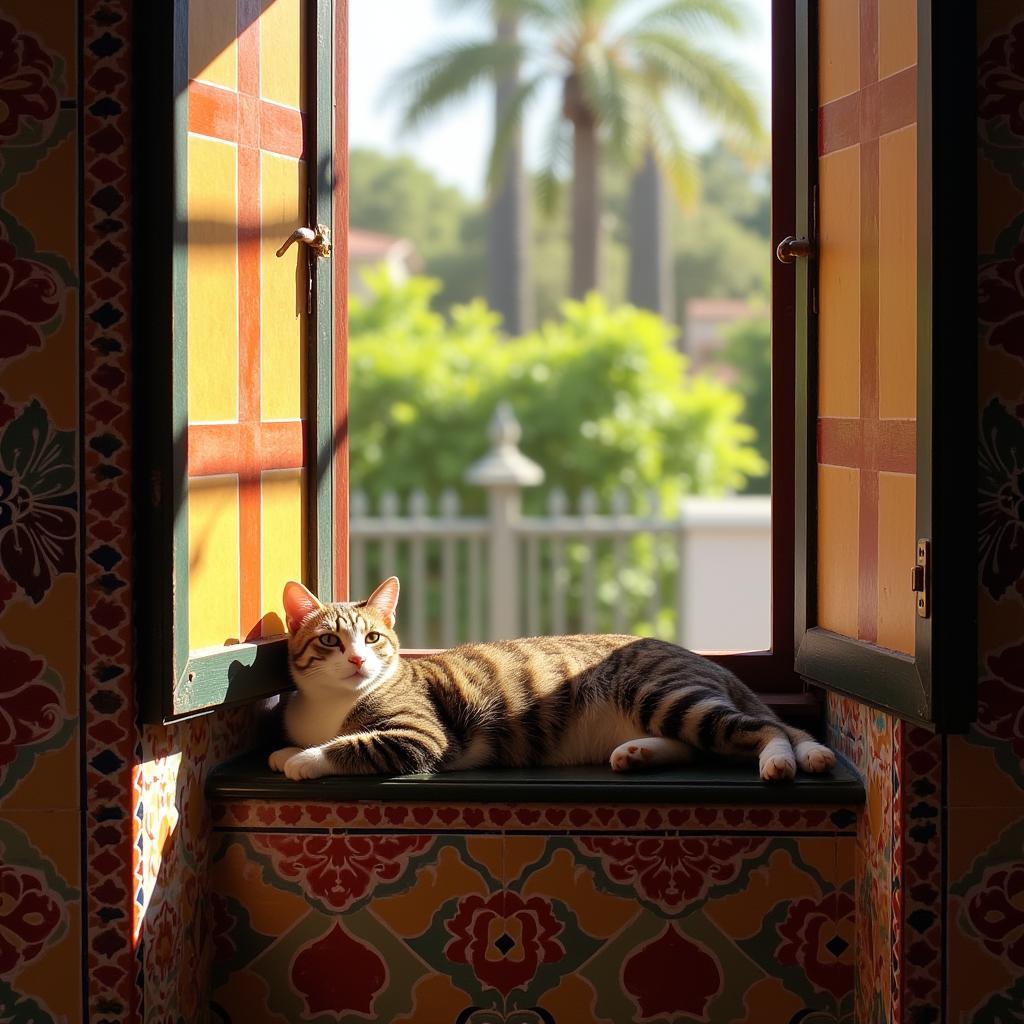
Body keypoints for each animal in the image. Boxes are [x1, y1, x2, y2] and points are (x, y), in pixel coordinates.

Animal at [268, 577, 835, 782]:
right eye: (329, 641)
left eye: (373, 638)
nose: (358, 661)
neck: (332, 705)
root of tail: (709, 662)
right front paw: (284, 751)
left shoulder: (420, 736)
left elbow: (353, 745)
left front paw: (302, 760)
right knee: (700, 746)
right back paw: (637, 754)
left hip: (664, 693)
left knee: (770, 729)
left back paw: (781, 762)